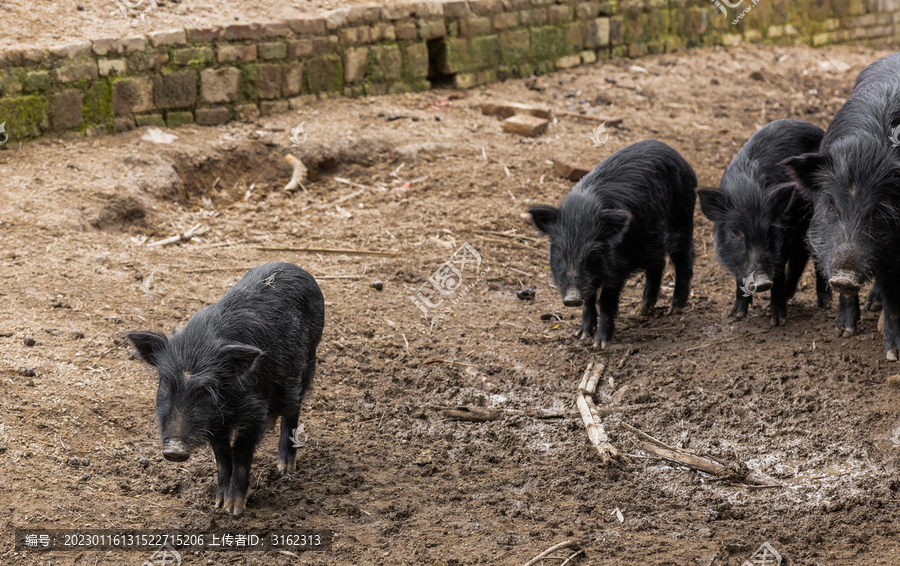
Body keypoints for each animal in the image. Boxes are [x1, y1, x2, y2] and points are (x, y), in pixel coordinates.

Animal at [125, 264, 324, 516]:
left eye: (205, 391)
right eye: (166, 384)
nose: (174, 450)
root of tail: (294, 267)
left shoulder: (253, 411)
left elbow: (239, 453)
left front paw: (234, 509)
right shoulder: (214, 423)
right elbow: (221, 456)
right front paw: (218, 504)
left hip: (307, 359)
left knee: (293, 408)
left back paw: (285, 469)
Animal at [528, 140, 696, 348]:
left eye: (593, 253)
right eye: (560, 250)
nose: (572, 299)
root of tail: (675, 153)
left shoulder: (618, 267)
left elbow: (605, 301)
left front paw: (600, 344)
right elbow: (590, 299)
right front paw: (581, 335)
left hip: (682, 218)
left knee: (684, 260)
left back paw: (675, 310)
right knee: (658, 265)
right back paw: (640, 311)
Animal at [696, 119, 828, 324]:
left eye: (770, 231)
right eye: (736, 233)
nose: (763, 282)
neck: (747, 192)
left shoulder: (779, 244)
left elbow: (779, 272)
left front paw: (778, 321)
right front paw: (736, 314)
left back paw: (825, 303)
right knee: (800, 253)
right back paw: (789, 294)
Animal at [780, 51, 900, 358]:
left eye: (879, 209)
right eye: (832, 203)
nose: (844, 277)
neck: (864, 154)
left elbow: (893, 291)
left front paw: (893, 354)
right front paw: (843, 331)